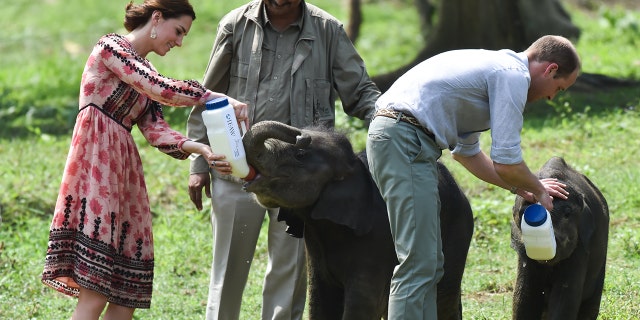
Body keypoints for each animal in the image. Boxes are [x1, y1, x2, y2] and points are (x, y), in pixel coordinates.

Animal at [242, 120, 472, 320]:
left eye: (300, 155)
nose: (301, 135)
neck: (353, 167)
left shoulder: (377, 238)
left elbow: (362, 304)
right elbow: (321, 302)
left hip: (458, 228)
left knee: (444, 294)